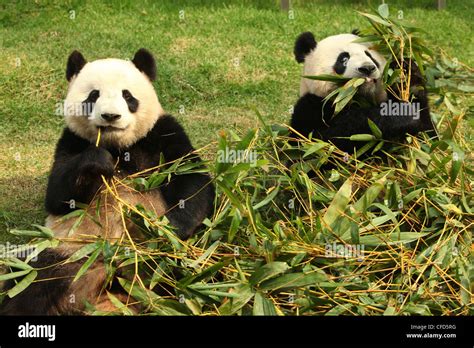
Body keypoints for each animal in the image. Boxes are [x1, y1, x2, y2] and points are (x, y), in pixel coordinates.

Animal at [0, 47, 215, 314]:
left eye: (127, 95)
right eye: (94, 95)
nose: (110, 116)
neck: (118, 146)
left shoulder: (163, 133)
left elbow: (193, 181)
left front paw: (167, 230)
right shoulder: (72, 140)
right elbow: (57, 195)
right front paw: (98, 162)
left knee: (201, 270)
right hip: (67, 251)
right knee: (29, 277)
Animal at [288, 32, 436, 156]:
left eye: (369, 55)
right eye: (343, 59)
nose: (367, 68)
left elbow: (428, 138)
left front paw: (406, 74)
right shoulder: (311, 108)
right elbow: (325, 141)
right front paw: (401, 115)